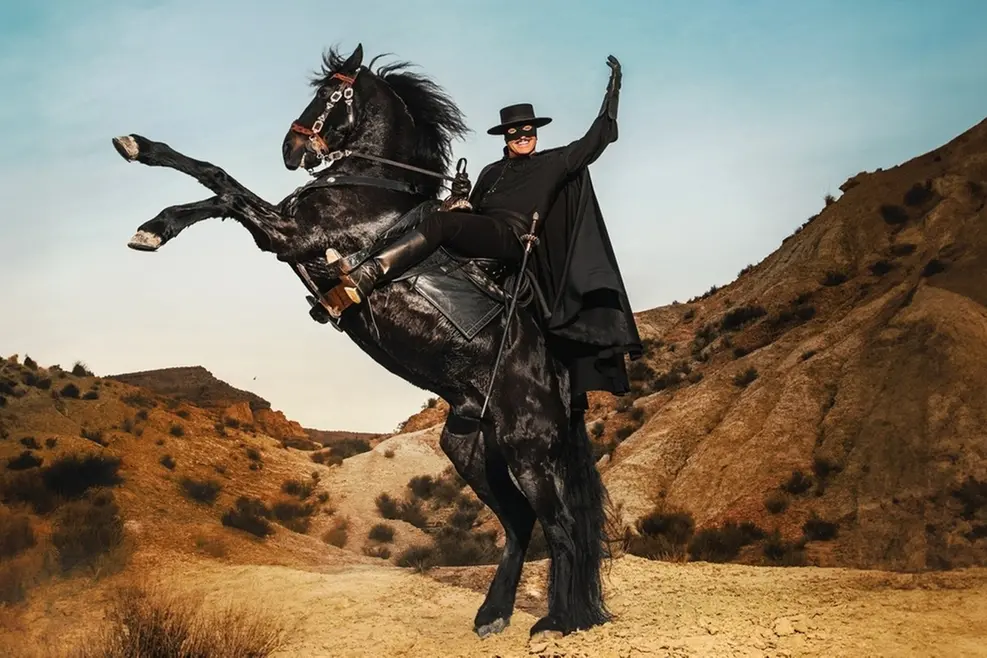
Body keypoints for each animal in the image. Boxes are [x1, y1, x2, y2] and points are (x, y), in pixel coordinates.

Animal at [114, 43, 608, 640]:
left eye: (332, 93)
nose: (292, 149)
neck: (374, 186)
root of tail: (559, 374)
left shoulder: (289, 235)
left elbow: (221, 180)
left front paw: (145, 171)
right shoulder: (282, 231)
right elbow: (217, 194)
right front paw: (152, 216)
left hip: (529, 450)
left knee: (559, 527)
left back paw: (559, 622)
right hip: (469, 446)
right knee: (519, 523)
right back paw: (494, 614)